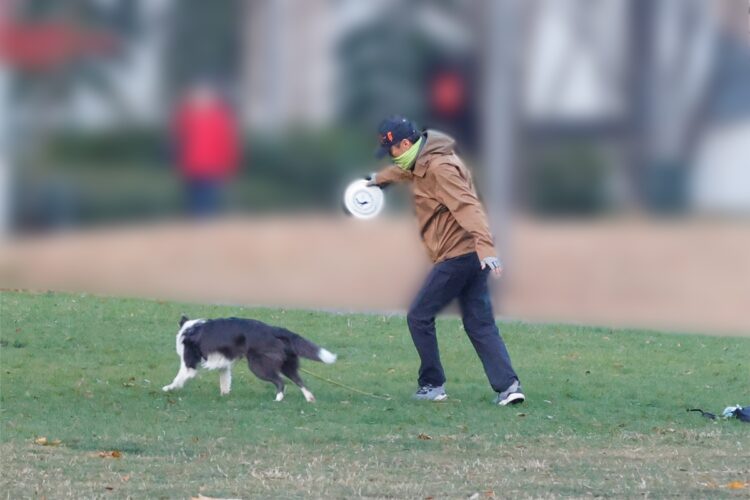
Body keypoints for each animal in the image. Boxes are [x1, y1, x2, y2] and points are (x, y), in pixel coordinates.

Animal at [166, 316, 340, 402]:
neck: (188, 328)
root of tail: (273, 329)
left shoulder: (189, 362)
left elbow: (179, 377)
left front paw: (169, 388)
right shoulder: (224, 364)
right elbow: (225, 381)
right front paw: (224, 396)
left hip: (258, 365)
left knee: (281, 382)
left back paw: (278, 399)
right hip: (287, 364)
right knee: (299, 381)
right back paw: (309, 398)